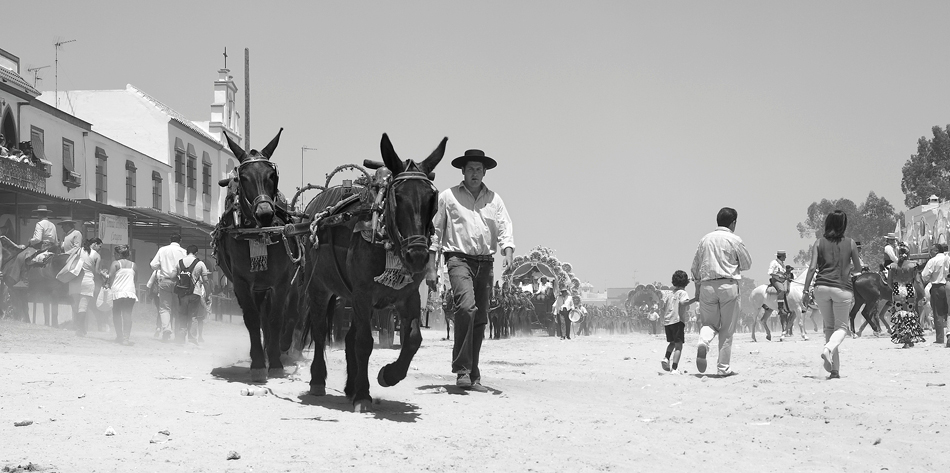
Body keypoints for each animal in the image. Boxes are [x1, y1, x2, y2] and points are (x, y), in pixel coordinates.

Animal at [214, 129, 298, 383]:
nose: (265, 214)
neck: (259, 234)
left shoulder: (281, 283)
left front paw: (276, 362)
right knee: (260, 318)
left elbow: (276, 318)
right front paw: (259, 363)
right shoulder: (242, 283)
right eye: (243, 177)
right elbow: (252, 320)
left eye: (272, 175)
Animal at [302, 133, 444, 412]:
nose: (418, 255)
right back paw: (319, 380)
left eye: (431, 200)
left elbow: (413, 339)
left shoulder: (407, 296)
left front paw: (388, 375)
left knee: (349, 338)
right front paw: (363, 394)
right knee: (321, 332)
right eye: (398, 196)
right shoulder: (363, 294)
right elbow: (364, 342)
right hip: (319, 288)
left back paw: (350, 387)